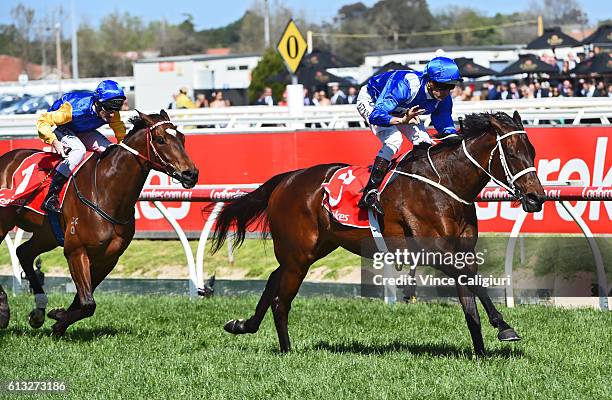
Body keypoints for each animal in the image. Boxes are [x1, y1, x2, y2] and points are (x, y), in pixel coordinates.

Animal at [0, 109, 197, 334]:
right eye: (161, 139)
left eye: (182, 137)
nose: (191, 174)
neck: (105, 191)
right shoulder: (76, 250)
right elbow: (88, 303)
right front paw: (58, 318)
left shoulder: (109, 257)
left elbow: (82, 300)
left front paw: (57, 318)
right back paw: (4, 310)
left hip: (47, 234)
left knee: (23, 252)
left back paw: (39, 310)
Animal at [212, 110, 544, 356]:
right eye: (512, 153)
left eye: (532, 151)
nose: (536, 198)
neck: (445, 184)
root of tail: (286, 179)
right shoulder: (434, 251)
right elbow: (474, 283)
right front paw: (504, 326)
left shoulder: (462, 250)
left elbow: (470, 301)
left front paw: (480, 352)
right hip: (299, 254)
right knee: (281, 300)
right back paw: (286, 349)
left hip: (312, 249)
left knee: (272, 280)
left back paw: (242, 325)